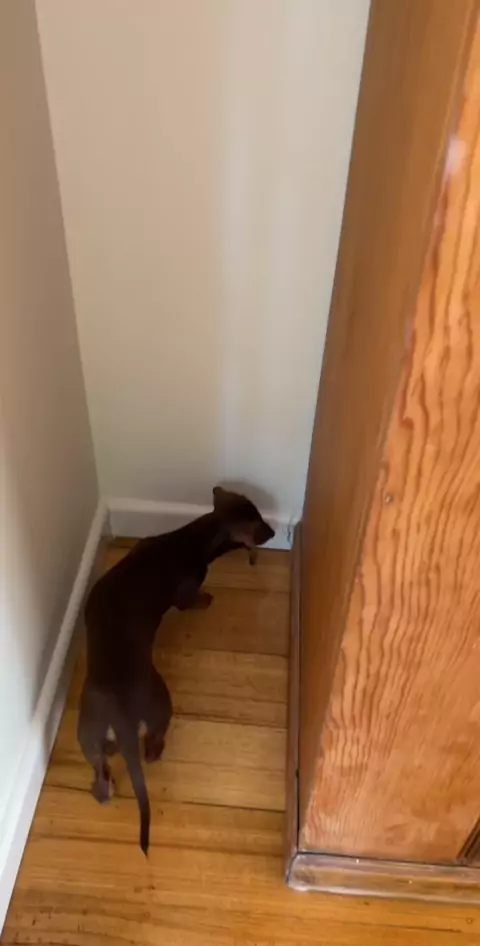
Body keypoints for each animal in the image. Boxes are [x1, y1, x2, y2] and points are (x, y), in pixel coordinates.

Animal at [78, 486, 275, 854]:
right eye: (258, 521)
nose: (273, 533)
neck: (194, 537)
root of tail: (118, 714)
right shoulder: (185, 593)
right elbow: (191, 600)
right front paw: (206, 599)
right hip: (160, 706)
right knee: (152, 746)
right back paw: (154, 751)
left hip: (88, 736)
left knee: (101, 768)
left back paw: (104, 789)